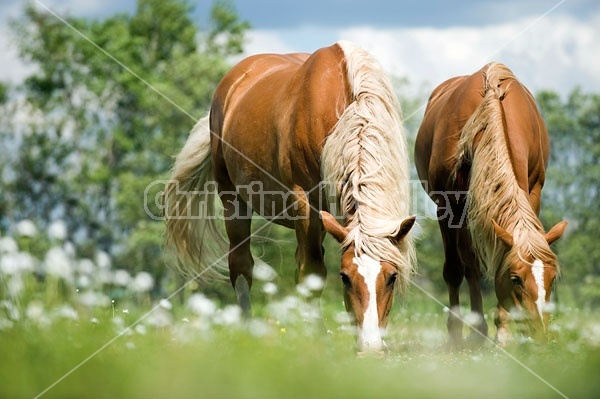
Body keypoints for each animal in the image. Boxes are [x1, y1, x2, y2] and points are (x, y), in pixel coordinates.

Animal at [164, 41, 418, 356]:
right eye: (345, 277)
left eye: (392, 277)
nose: (370, 347)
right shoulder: (306, 203)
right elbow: (312, 272)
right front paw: (316, 337)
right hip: (233, 200)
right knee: (242, 265)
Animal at [414, 62, 568, 346]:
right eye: (516, 279)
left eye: (552, 278)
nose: (541, 334)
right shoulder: (448, 206)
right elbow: (459, 268)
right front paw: (465, 332)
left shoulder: (533, 193)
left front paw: (504, 329)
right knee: (464, 266)